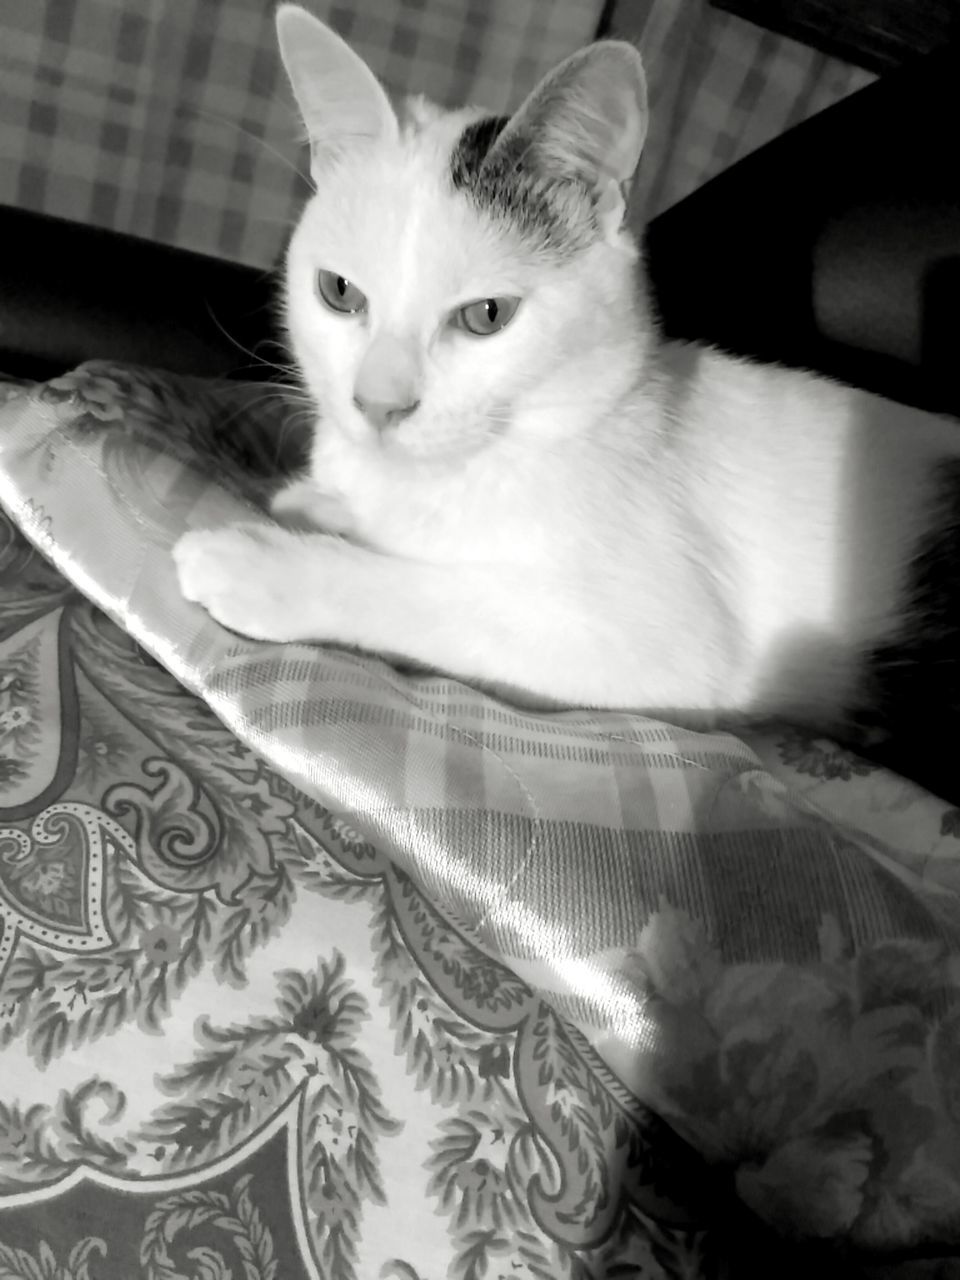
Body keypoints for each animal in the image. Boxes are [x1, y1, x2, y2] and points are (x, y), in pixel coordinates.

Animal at [175, 2, 960, 798]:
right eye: (338, 293)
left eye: (486, 315)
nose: (378, 404)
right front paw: (317, 505)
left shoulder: (659, 643)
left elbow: (441, 594)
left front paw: (268, 565)